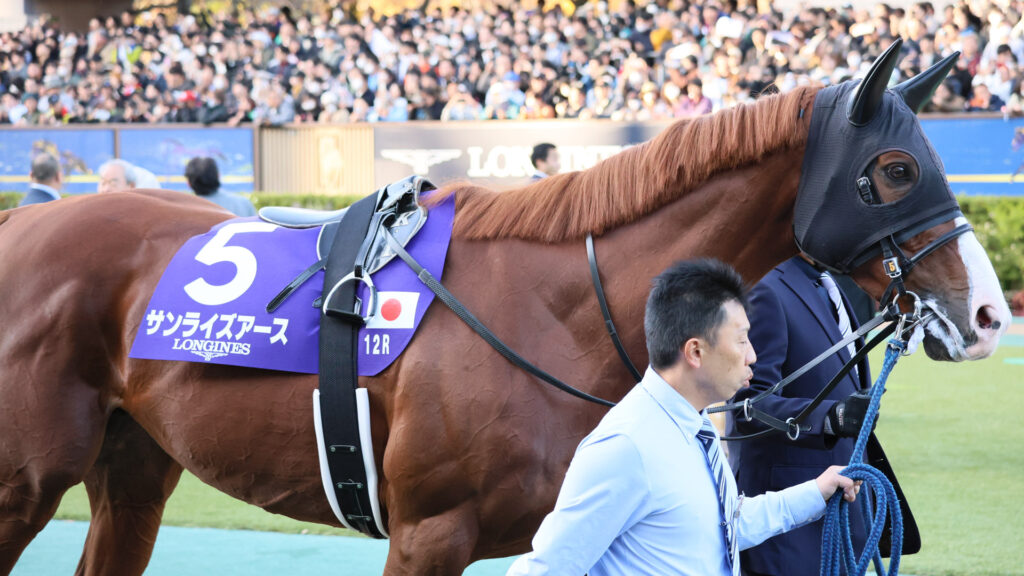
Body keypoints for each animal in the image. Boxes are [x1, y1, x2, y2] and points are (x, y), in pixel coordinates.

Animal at [0, 43, 1011, 575]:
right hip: (25, 483)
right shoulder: (428, 536)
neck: (556, 309)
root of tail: (24, 226)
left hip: (134, 470)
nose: (993, 313)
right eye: (896, 170)